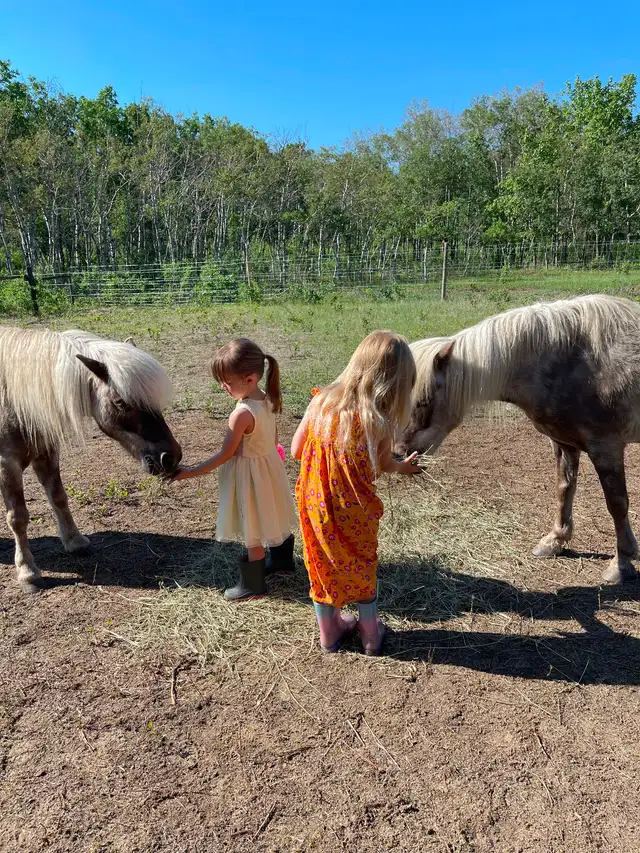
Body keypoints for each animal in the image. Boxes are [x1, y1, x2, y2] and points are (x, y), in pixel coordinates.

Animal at [0, 327, 182, 593]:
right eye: (120, 402)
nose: (171, 457)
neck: (13, 399)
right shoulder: (7, 465)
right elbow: (18, 518)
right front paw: (27, 572)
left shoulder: (46, 453)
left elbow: (59, 497)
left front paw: (75, 541)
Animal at [399, 294, 640, 586]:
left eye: (423, 401)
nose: (402, 454)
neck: (570, 360)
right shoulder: (565, 443)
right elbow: (564, 489)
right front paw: (555, 540)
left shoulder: (606, 447)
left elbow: (617, 503)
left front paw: (622, 563)